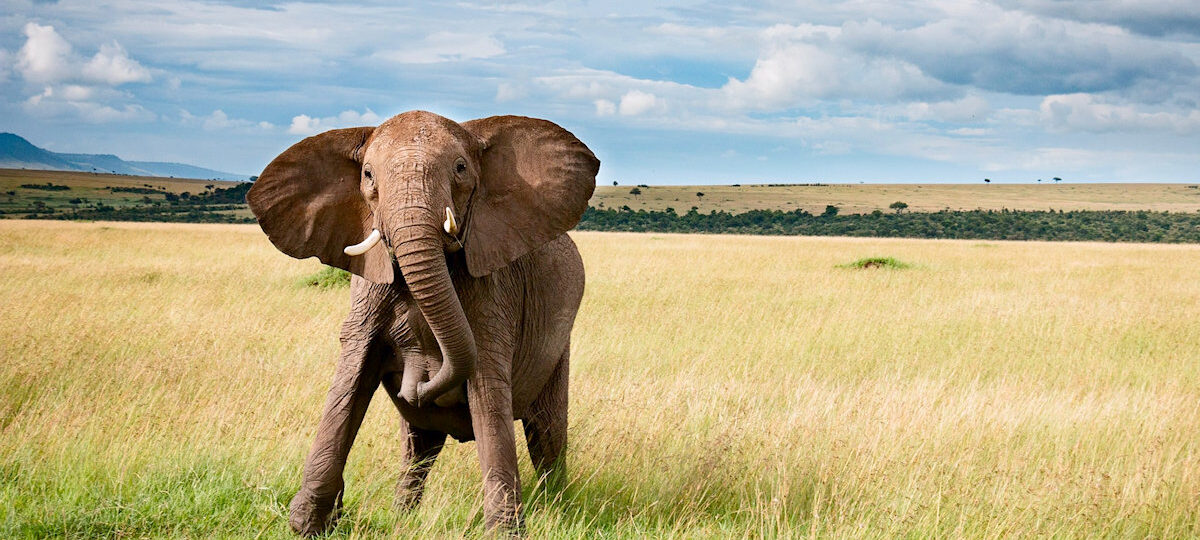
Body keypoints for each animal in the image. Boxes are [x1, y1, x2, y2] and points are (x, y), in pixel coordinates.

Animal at [246, 110, 599, 535]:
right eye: (367, 175)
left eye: (461, 168)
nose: (417, 382)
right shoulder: (368, 287)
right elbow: (351, 379)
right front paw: (308, 524)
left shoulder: (494, 292)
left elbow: (487, 392)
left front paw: (506, 534)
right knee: (419, 446)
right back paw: (403, 516)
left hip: (559, 342)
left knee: (547, 435)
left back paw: (558, 511)